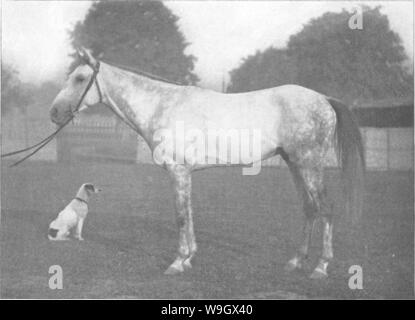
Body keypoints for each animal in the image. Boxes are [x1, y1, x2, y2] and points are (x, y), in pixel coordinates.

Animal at [50, 48, 366, 278]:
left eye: (80, 78)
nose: (54, 112)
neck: (162, 105)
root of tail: (324, 98)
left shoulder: (177, 171)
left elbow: (180, 216)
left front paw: (177, 262)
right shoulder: (185, 173)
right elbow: (189, 214)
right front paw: (189, 258)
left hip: (309, 164)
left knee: (326, 208)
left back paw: (321, 267)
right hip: (295, 164)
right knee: (310, 209)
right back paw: (296, 261)